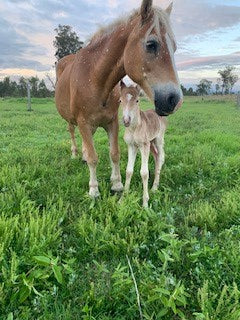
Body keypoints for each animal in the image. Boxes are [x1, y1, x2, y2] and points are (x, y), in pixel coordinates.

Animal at [54, 0, 182, 196]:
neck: (95, 79)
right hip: (72, 120)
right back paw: (76, 154)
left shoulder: (112, 121)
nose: (174, 100)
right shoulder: (83, 122)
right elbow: (93, 157)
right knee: (72, 133)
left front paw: (117, 184)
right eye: (151, 44)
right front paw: (94, 190)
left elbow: (114, 153)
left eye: (174, 47)